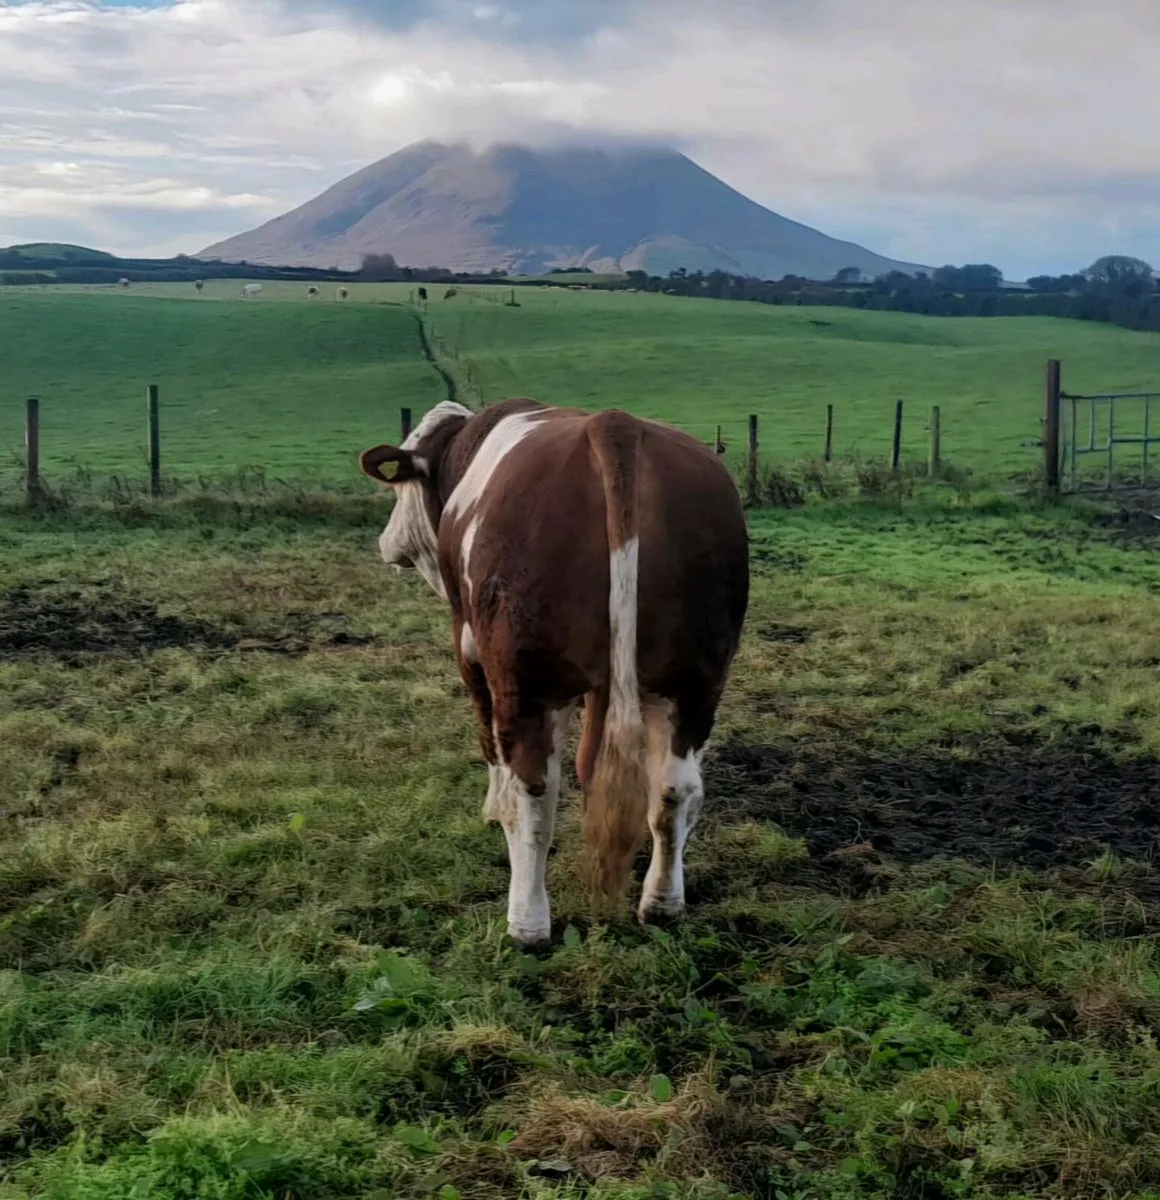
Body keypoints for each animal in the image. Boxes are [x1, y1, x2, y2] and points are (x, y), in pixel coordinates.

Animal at [359, 398, 749, 948]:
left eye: (399, 488)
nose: (385, 541)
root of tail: (614, 424)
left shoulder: (468, 643)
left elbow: (490, 743)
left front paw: (489, 807)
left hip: (527, 680)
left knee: (535, 794)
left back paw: (527, 923)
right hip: (696, 680)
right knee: (676, 789)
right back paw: (662, 904)